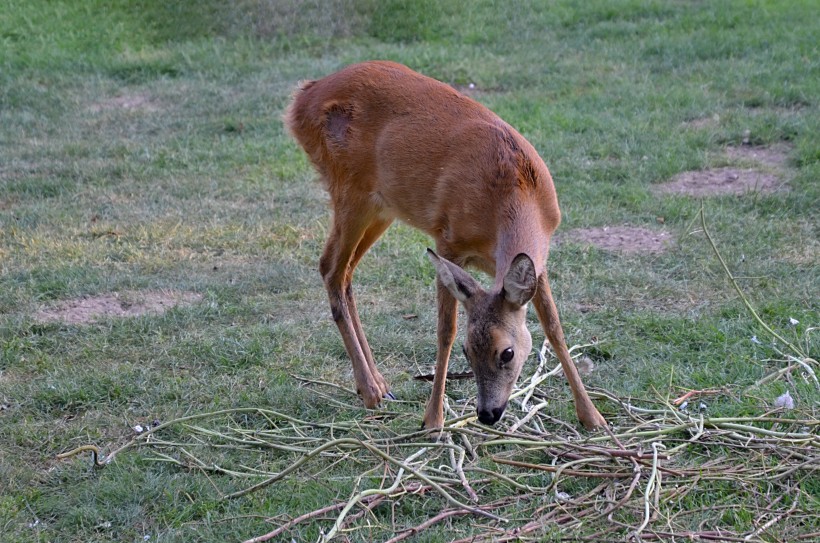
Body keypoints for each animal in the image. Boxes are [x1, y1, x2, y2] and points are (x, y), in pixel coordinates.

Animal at [286, 61, 604, 432]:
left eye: (507, 352)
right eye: (467, 351)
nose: (487, 414)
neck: (514, 191)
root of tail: (302, 97)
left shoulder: (540, 263)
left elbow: (555, 329)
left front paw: (592, 417)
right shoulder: (447, 240)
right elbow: (445, 330)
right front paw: (433, 420)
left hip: (381, 207)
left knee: (345, 271)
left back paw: (379, 384)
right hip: (348, 190)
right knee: (330, 268)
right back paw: (370, 391)